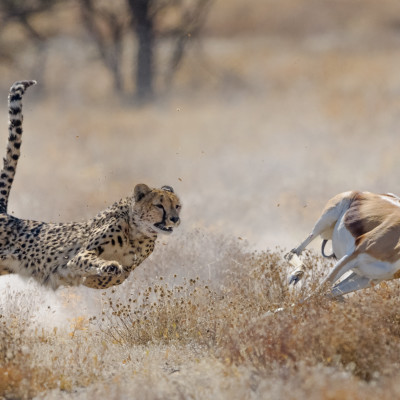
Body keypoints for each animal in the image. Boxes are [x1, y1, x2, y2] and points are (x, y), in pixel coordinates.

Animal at [0, 81, 181, 290]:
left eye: (177, 206)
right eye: (159, 205)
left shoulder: (128, 268)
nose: (175, 219)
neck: (137, 233)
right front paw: (107, 267)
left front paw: (96, 277)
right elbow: (91, 261)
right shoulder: (79, 255)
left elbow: (118, 277)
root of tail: (5, 214)